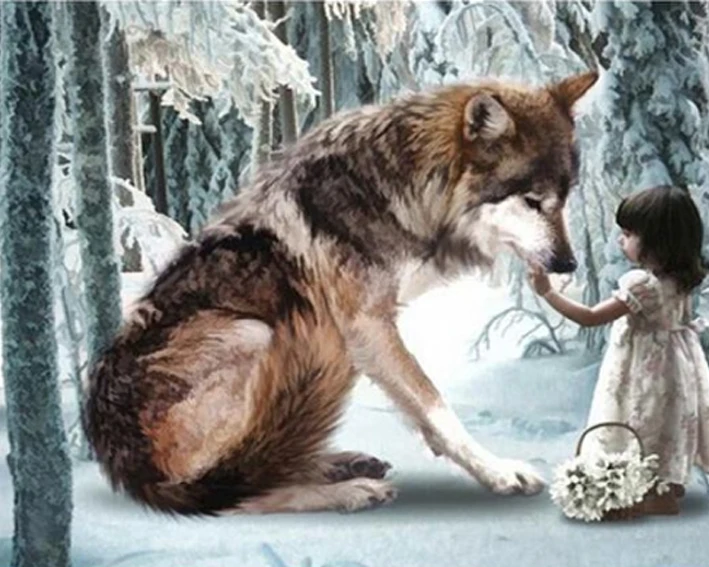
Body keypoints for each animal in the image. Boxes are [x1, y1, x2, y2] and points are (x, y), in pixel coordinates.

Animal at [84, 70, 598, 515]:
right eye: (531, 201)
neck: (398, 187)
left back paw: (339, 463)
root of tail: (122, 462)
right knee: (240, 492)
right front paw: (497, 471)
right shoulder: (367, 324)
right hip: (253, 333)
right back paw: (349, 490)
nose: (568, 264)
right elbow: (435, 405)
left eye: (565, 198)